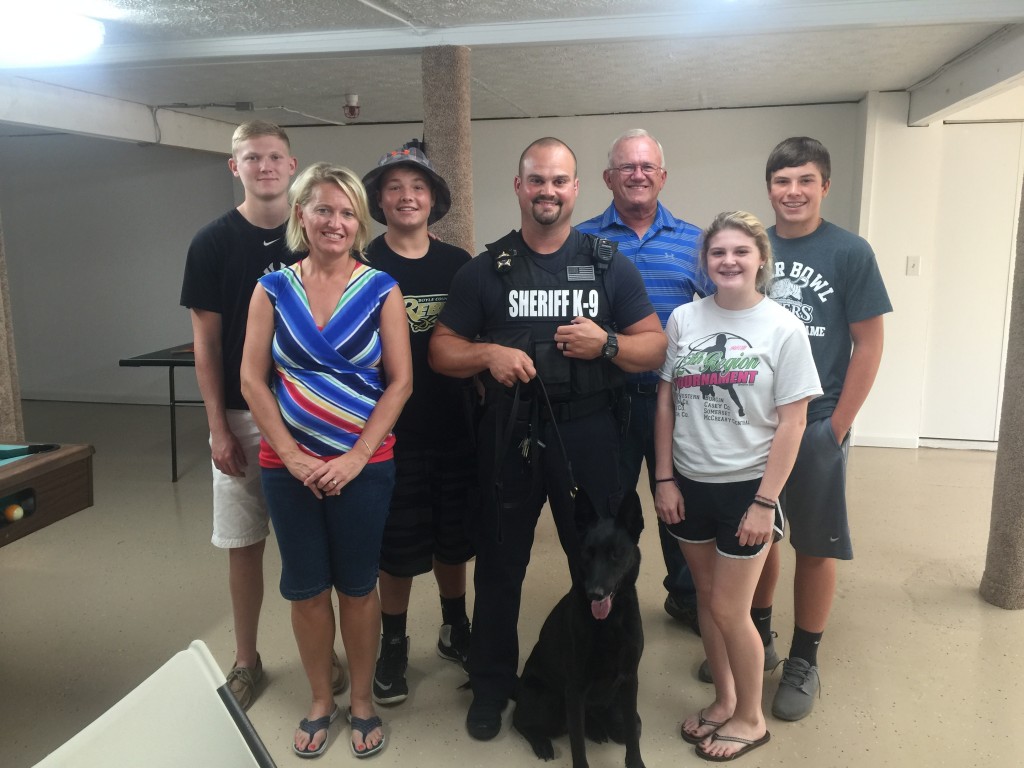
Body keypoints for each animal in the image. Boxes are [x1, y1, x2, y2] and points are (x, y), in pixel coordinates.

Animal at [516, 493, 643, 768]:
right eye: (588, 554)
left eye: (616, 554)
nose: (595, 593)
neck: (609, 623)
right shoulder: (574, 690)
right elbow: (577, 743)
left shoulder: (629, 681)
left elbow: (631, 731)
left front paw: (636, 762)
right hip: (549, 700)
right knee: (520, 722)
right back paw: (542, 742)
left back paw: (596, 728)